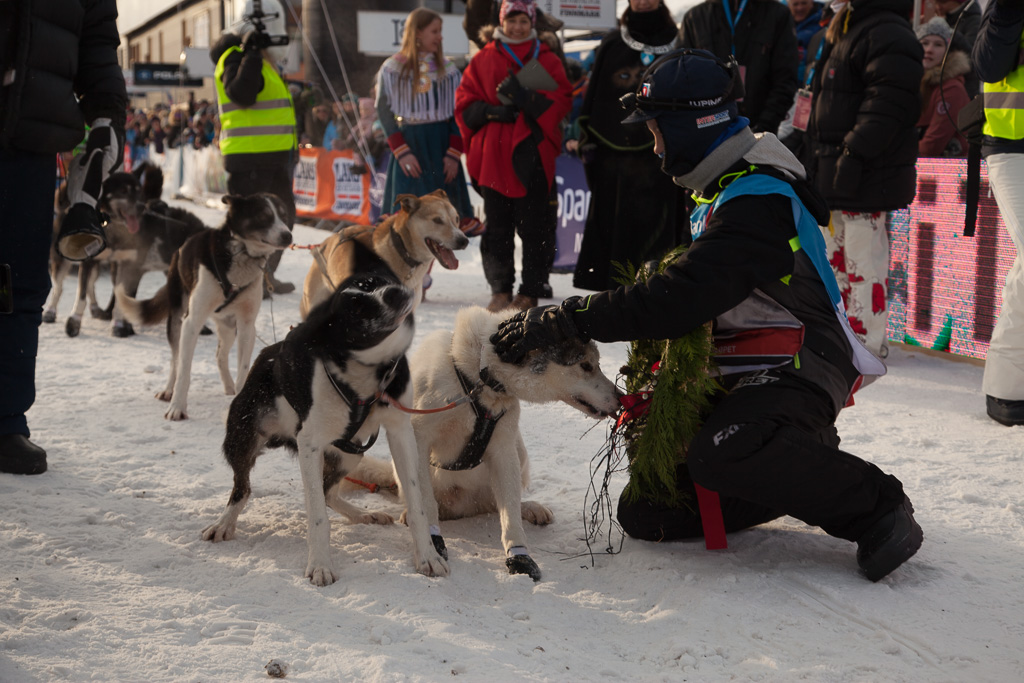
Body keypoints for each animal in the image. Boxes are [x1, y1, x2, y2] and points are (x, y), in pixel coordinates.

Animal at [117, 189, 292, 419]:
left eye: (284, 215)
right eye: (264, 215)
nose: (288, 235)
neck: (239, 254)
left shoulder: (247, 326)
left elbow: (243, 367)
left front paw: (239, 396)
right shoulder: (192, 322)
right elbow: (184, 369)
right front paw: (177, 407)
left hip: (228, 326)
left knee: (220, 355)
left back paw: (229, 387)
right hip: (178, 319)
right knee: (175, 360)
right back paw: (168, 390)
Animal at [201, 274, 450, 585]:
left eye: (378, 280)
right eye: (355, 307)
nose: (395, 292)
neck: (364, 378)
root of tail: (266, 354)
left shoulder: (400, 432)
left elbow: (416, 505)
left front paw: (428, 556)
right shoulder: (310, 444)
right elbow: (317, 516)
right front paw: (320, 564)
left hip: (351, 453)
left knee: (328, 491)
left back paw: (362, 515)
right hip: (242, 438)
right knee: (243, 488)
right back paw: (224, 523)